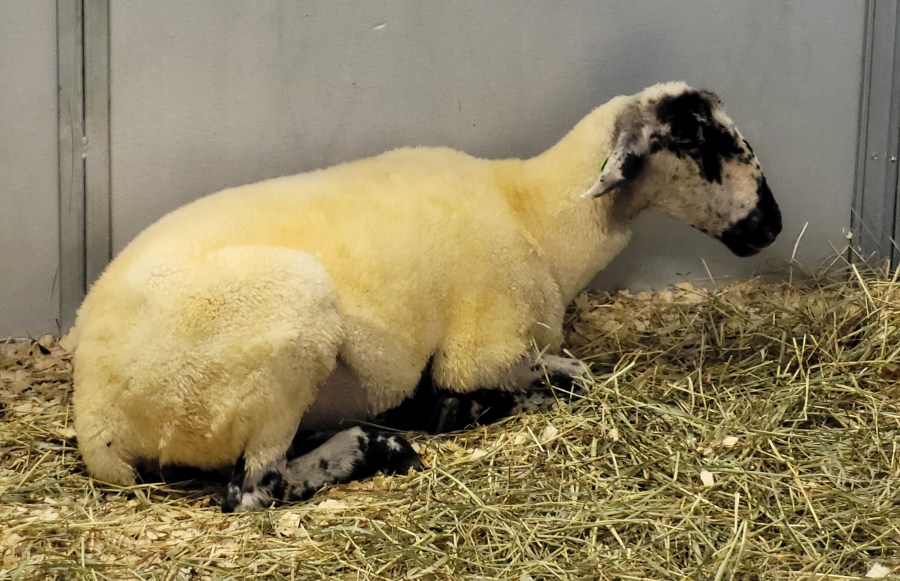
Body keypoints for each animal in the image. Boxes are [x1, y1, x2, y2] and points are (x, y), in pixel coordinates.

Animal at [70, 81, 782, 511]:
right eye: (696, 140)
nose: (771, 225)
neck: (536, 215)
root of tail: (95, 417)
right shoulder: (484, 350)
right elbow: (571, 375)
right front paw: (466, 405)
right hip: (287, 324)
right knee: (253, 489)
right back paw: (377, 446)